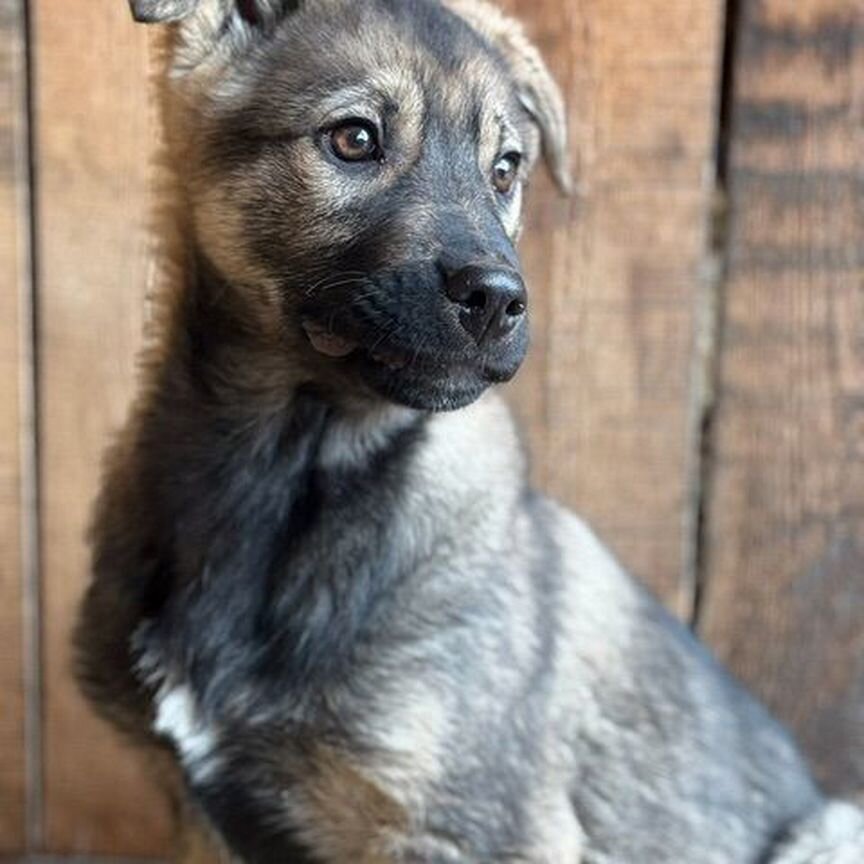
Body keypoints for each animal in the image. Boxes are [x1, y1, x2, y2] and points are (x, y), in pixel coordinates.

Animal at [76, 0, 864, 860]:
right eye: (354, 139)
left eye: (506, 169)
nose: (498, 301)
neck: (278, 469)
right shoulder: (194, 817)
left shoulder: (476, 826)